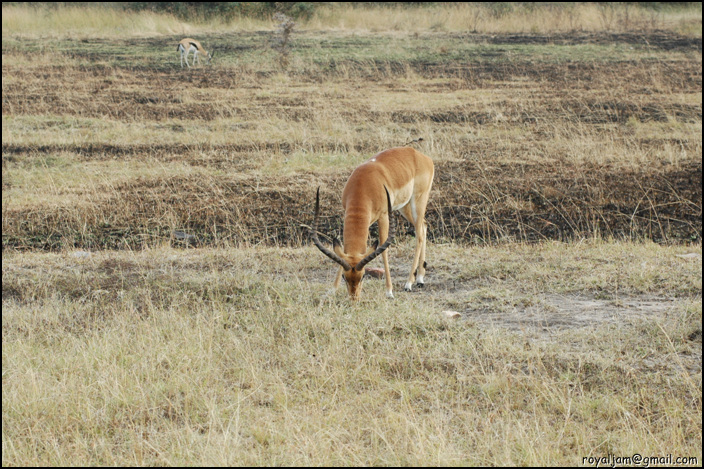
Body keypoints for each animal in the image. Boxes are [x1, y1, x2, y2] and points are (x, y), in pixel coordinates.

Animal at [312, 146, 434, 300]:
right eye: (345, 277)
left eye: (363, 276)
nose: (354, 298)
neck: (363, 185)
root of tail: (421, 155)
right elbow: (344, 251)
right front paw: (333, 289)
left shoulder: (384, 216)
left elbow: (384, 248)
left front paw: (389, 291)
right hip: (404, 207)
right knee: (424, 226)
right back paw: (420, 279)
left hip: (417, 201)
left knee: (419, 235)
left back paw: (409, 283)